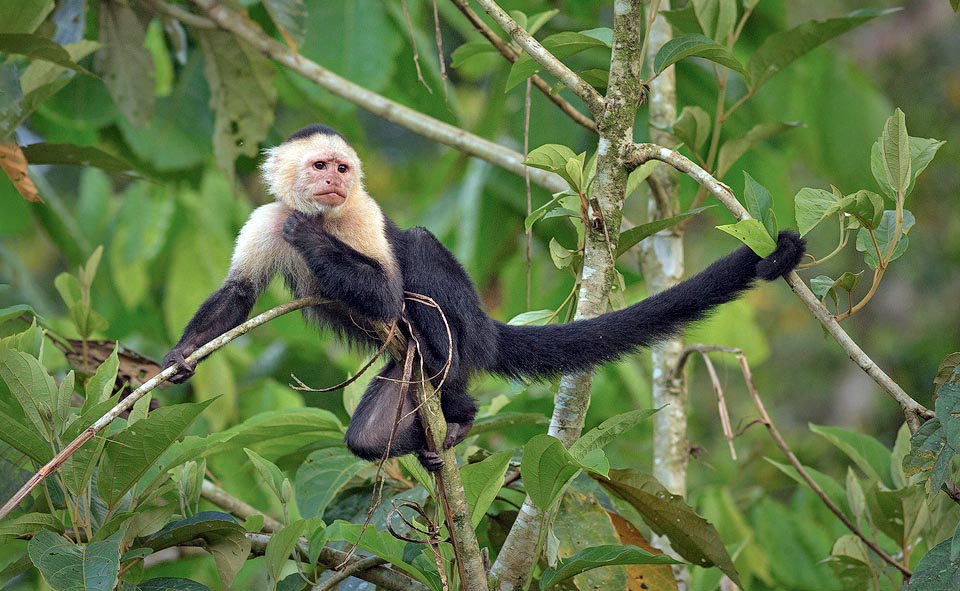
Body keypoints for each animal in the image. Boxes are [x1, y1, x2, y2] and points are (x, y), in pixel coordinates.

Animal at [163, 123, 804, 472]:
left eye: (342, 169)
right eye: (319, 165)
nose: (333, 182)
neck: (326, 213)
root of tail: (484, 329)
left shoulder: (361, 213)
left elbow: (385, 294)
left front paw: (312, 237)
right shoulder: (264, 218)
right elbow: (238, 294)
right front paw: (182, 355)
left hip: (461, 333)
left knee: (421, 252)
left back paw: (459, 403)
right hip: (404, 377)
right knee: (367, 438)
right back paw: (442, 431)